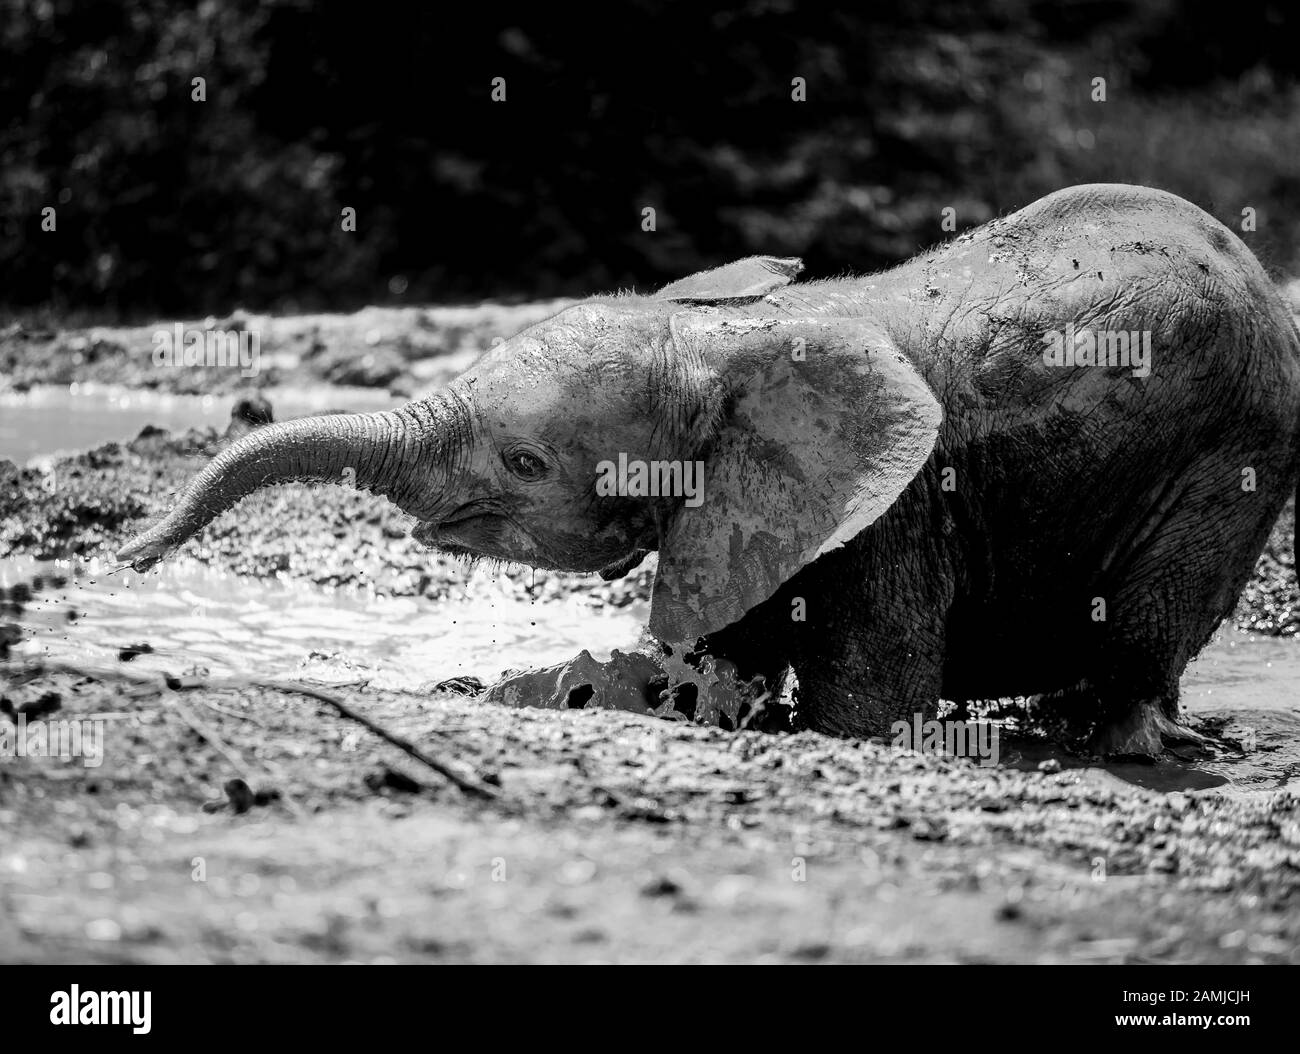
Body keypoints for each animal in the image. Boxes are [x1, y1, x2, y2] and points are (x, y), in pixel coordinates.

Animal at [116, 183, 1300, 758]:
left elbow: (866, 709)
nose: (131, 555)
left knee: (1151, 615)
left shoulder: (895, 513)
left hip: (1237, 452)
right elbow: (723, 654)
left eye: (526, 460)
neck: (718, 341)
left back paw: (1124, 739)